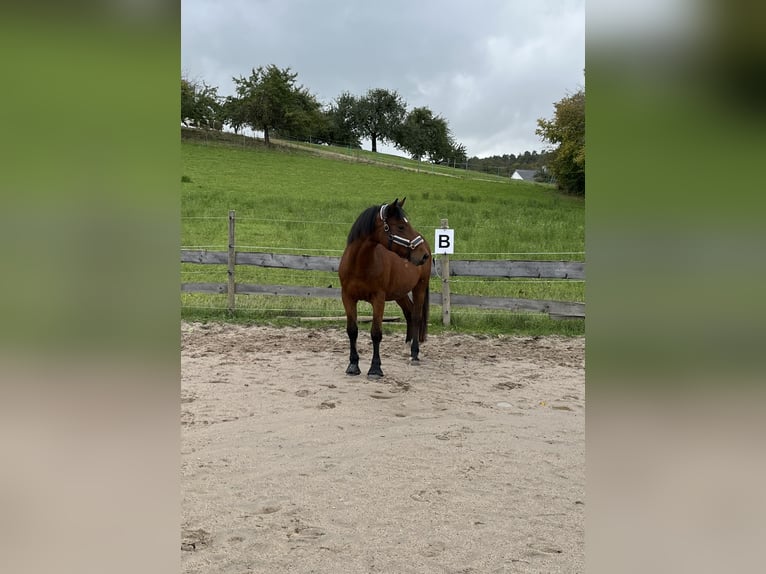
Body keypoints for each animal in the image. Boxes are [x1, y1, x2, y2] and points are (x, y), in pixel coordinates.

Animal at [340, 200, 436, 380]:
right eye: (401, 227)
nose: (424, 255)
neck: (360, 264)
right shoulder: (347, 298)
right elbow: (352, 331)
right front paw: (353, 365)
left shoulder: (378, 299)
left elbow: (376, 333)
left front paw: (375, 368)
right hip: (400, 293)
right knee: (409, 312)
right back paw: (407, 345)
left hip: (419, 287)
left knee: (416, 316)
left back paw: (414, 353)